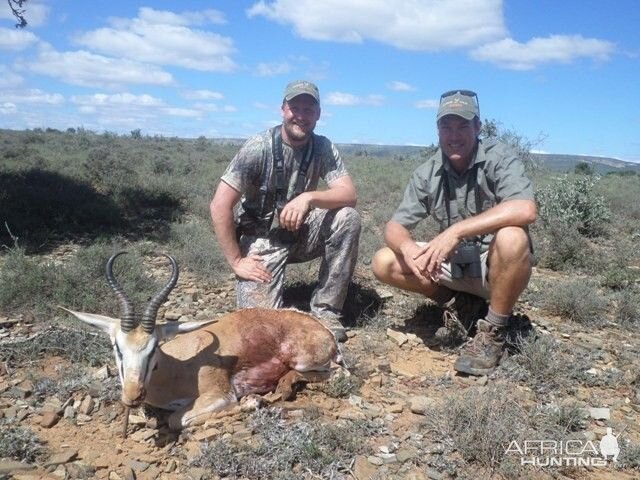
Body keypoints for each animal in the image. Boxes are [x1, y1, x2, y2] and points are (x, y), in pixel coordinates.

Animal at [62, 253, 340, 430]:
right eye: (117, 348)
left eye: (154, 349)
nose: (132, 395)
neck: (177, 369)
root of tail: (323, 329)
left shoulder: (221, 395)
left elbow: (177, 420)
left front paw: (252, 401)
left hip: (306, 362)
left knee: (336, 373)